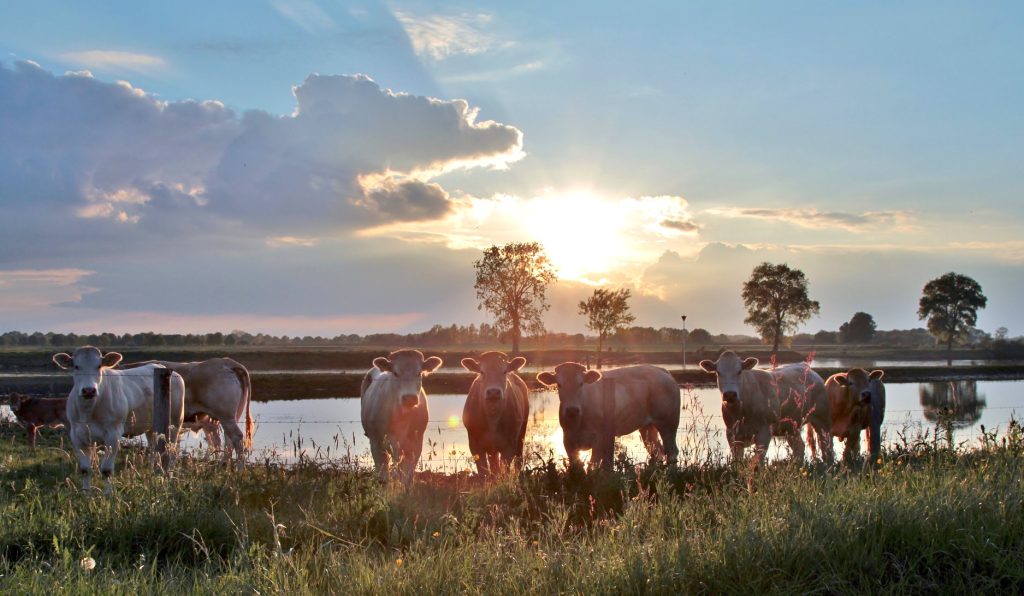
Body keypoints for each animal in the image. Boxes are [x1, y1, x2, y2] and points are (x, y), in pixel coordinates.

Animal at [51, 346, 185, 495]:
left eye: (99, 366)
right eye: (76, 366)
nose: (89, 390)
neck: (89, 412)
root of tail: (161, 367)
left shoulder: (113, 435)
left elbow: (106, 470)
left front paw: (108, 494)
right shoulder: (77, 435)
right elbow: (85, 469)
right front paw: (86, 494)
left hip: (174, 423)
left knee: (171, 452)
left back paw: (169, 476)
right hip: (151, 427)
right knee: (154, 450)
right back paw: (154, 473)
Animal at [120, 360, 253, 466]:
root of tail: (227, 362)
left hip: (225, 416)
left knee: (235, 438)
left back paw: (238, 467)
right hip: (228, 417)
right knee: (226, 441)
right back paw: (223, 465)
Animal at [358, 350, 442, 485]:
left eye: (419, 373)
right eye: (395, 373)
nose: (409, 398)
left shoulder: (415, 445)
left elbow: (406, 477)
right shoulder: (376, 443)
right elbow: (383, 477)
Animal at [536, 362, 679, 469]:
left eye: (581, 383)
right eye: (559, 384)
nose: (572, 410)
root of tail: (661, 370)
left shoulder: (599, 439)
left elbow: (591, 466)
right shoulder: (568, 439)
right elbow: (577, 466)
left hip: (668, 424)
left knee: (672, 451)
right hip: (647, 427)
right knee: (657, 451)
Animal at [696, 354, 831, 466]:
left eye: (739, 371)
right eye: (718, 372)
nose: (730, 394)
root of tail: (806, 367)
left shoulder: (764, 432)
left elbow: (757, 463)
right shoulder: (732, 434)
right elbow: (737, 462)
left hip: (822, 420)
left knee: (826, 446)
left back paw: (828, 466)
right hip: (791, 426)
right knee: (799, 447)